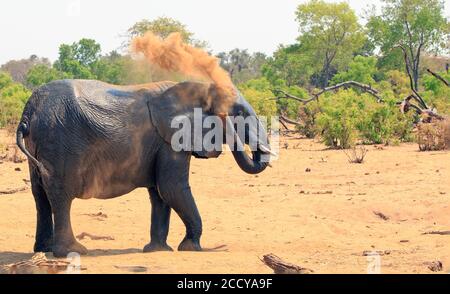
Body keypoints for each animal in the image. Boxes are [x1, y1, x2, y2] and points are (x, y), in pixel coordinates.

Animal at [16, 79, 270, 256]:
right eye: (239, 113)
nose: (228, 123)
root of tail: (28, 113)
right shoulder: (171, 139)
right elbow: (171, 188)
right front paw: (191, 248)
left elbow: (160, 194)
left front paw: (158, 250)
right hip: (59, 143)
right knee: (61, 196)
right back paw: (73, 252)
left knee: (40, 195)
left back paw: (43, 250)